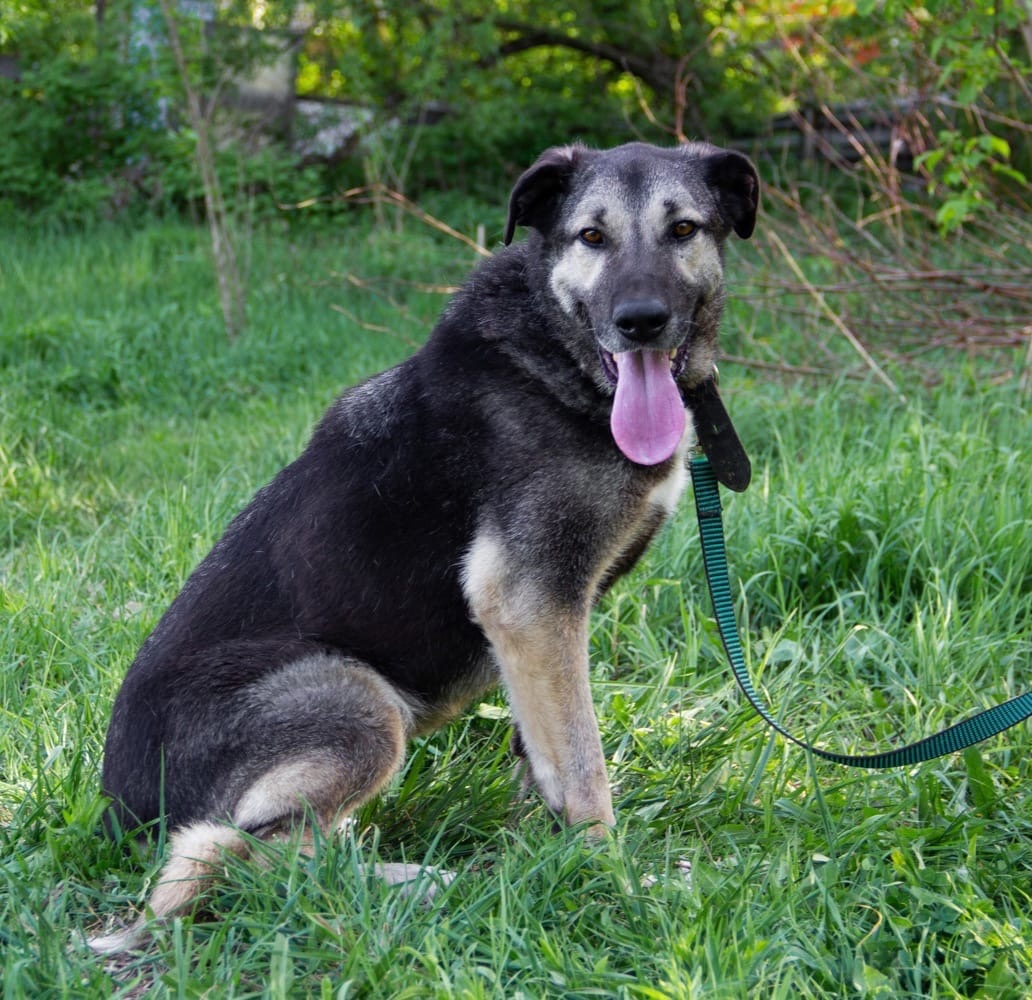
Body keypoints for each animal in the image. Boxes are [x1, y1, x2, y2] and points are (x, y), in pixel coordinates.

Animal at [90, 140, 759, 953]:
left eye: (684, 229)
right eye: (591, 238)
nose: (639, 323)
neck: (552, 353)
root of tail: (119, 819)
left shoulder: (536, 631)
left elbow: (541, 758)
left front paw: (546, 860)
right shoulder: (531, 601)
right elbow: (582, 767)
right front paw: (612, 881)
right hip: (358, 701)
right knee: (259, 858)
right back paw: (429, 884)